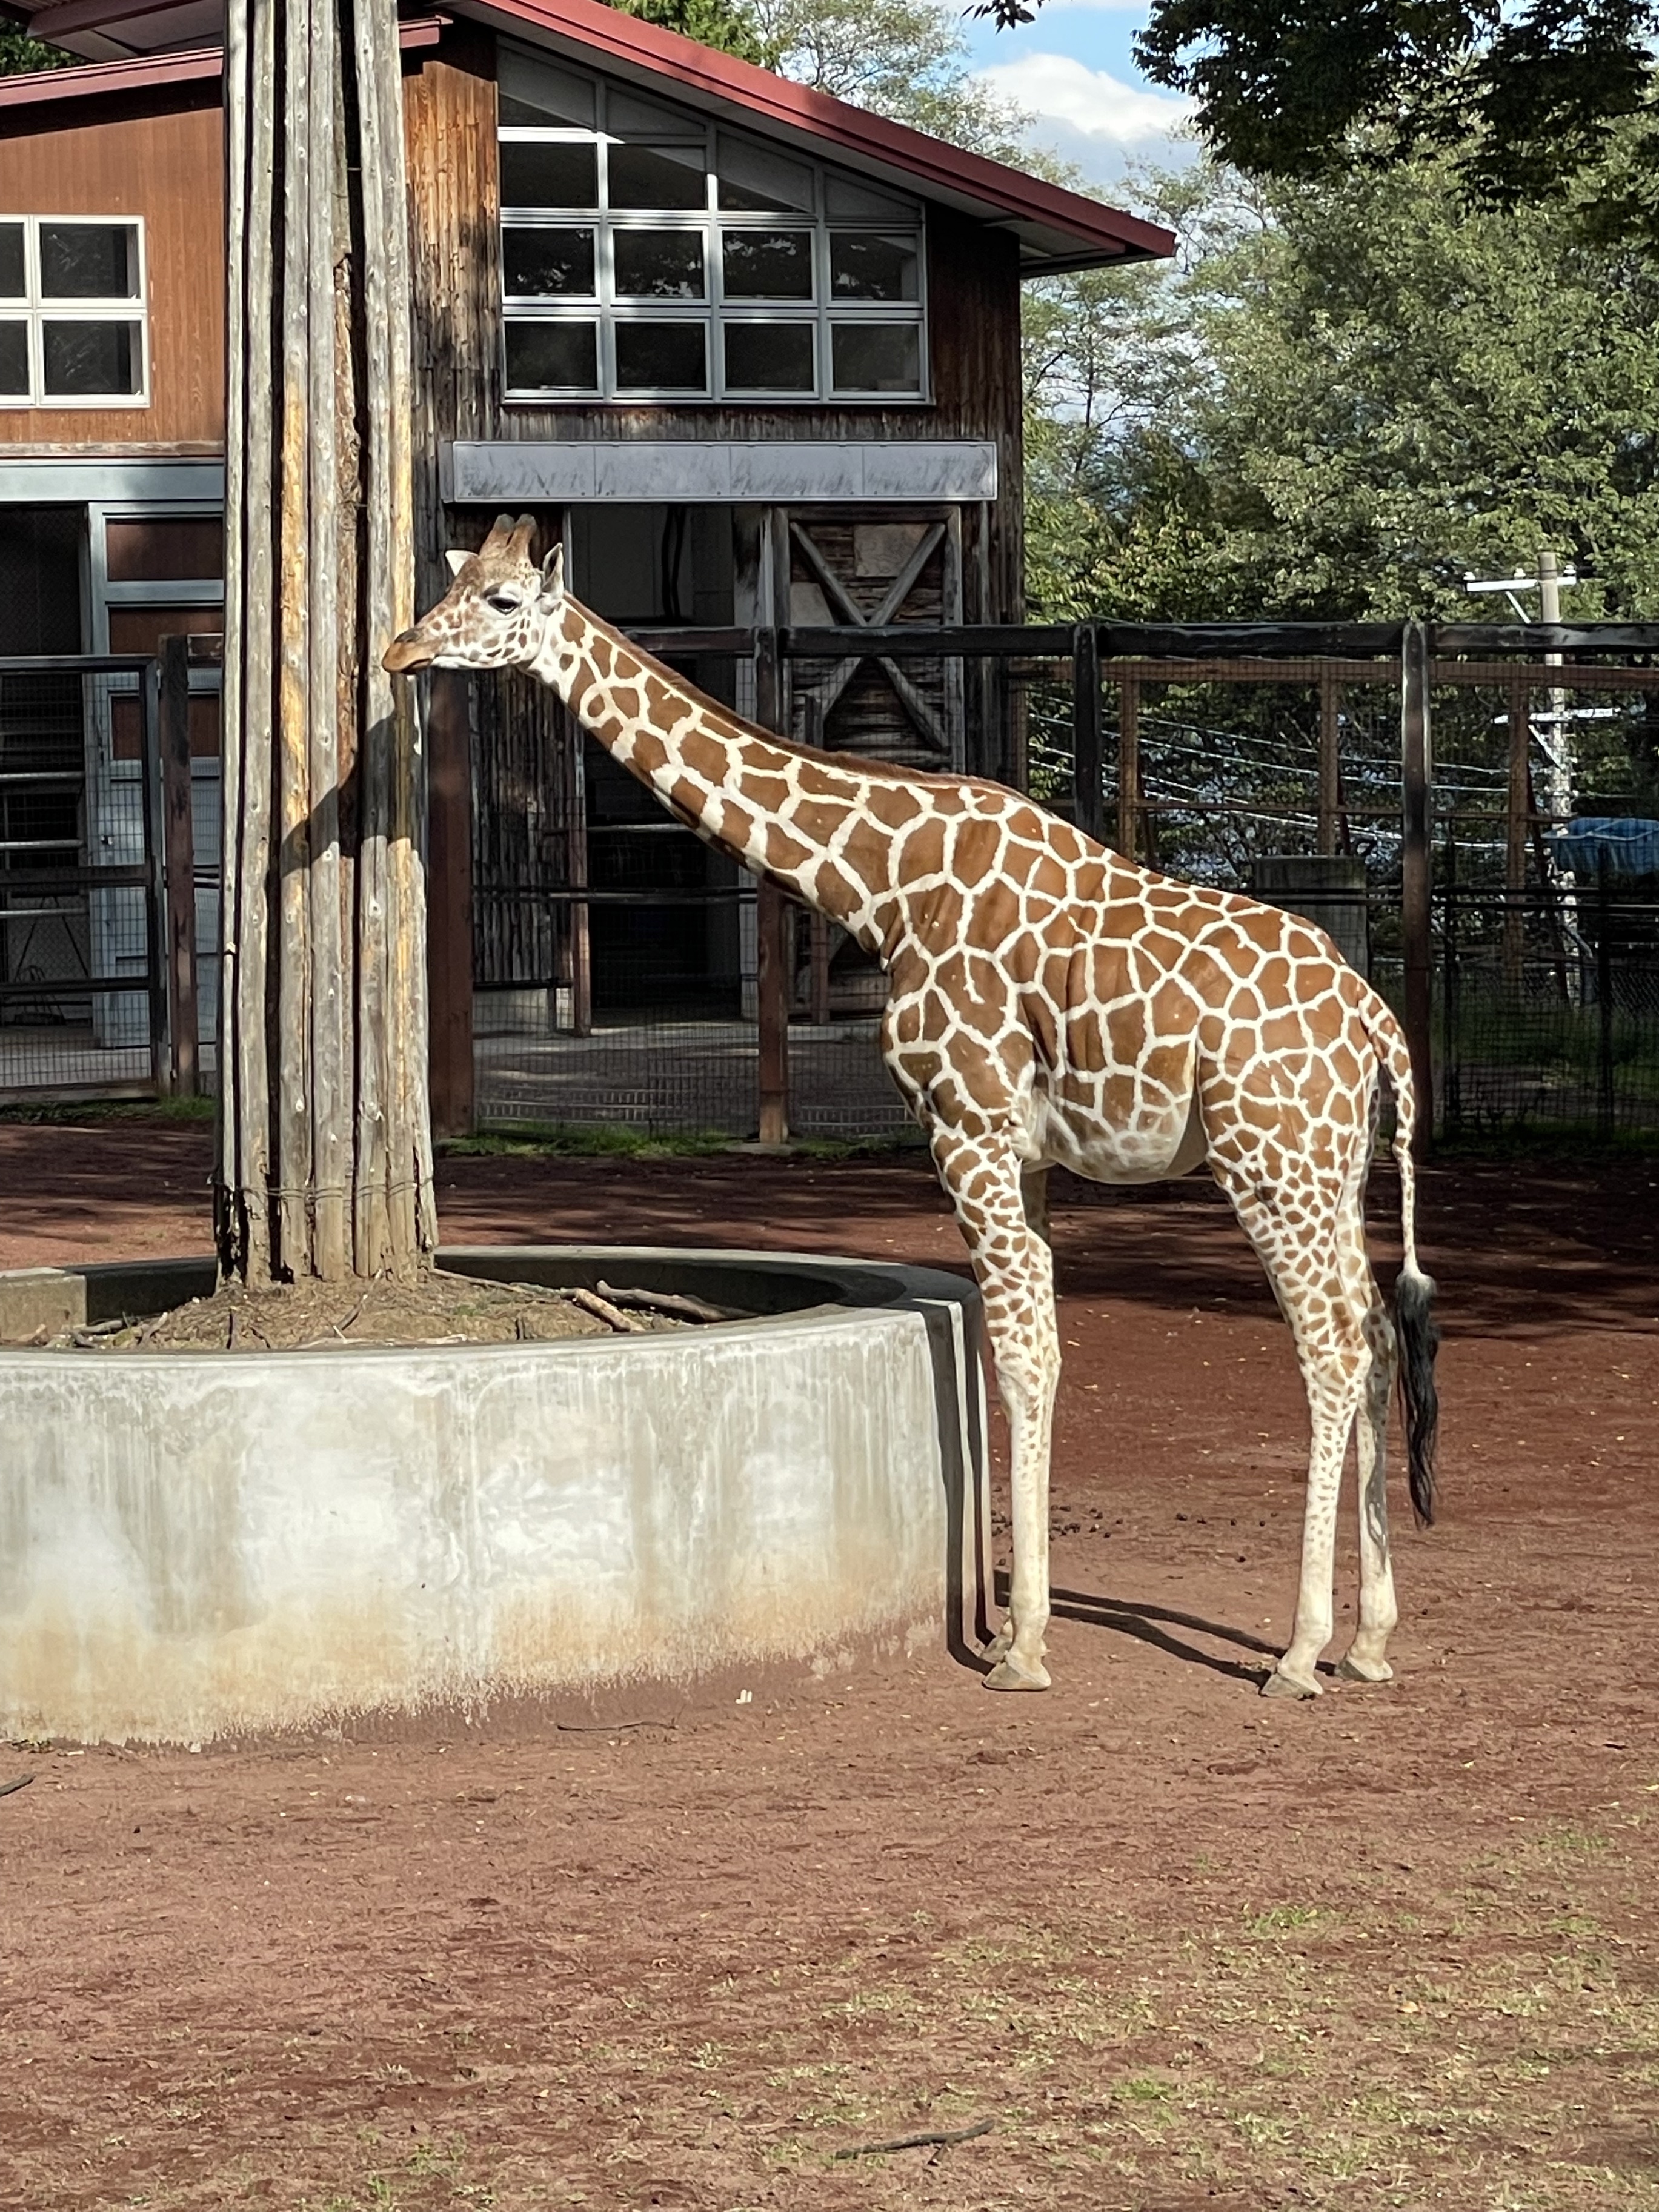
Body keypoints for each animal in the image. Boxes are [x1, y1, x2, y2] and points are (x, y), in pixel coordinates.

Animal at [380, 513, 1442, 1690]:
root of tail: (1377, 1026)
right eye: (450, 582)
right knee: (1377, 1334)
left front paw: (1018, 1645)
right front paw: (1027, 1622)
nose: (398, 652)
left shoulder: (963, 1125)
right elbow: (1042, 1343)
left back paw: (1298, 1650)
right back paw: (1371, 1639)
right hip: (1333, 1173)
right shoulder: (1024, 1152)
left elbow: (1017, 1351)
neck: (883, 884)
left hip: (1268, 1166)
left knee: (1332, 1350)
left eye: (503, 600)